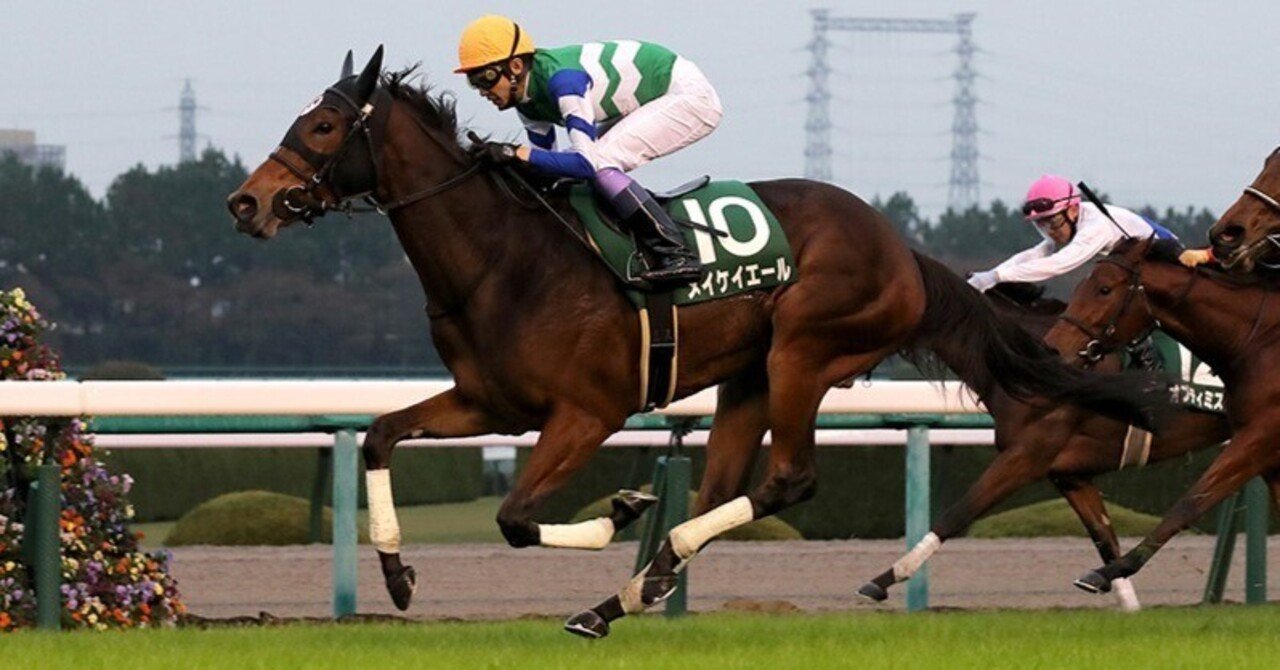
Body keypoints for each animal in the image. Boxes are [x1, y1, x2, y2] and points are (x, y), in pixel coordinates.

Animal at [226, 49, 1167, 638]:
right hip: (748, 377)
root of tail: (902, 249)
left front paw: (616, 512)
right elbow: (381, 436)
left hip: (804, 350)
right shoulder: (488, 402)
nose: (247, 202)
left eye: (322, 129)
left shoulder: (588, 413)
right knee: (724, 487)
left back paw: (641, 566)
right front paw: (395, 576)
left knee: (788, 480)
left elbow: (515, 518)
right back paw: (624, 594)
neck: (503, 260)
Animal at [858, 283, 1230, 610]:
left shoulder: (1026, 456)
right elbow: (1104, 540)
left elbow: (958, 513)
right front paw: (1126, 604)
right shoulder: (1069, 474)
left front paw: (883, 580)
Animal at [1042, 236, 1280, 594]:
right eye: (1081, 285)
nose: (1053, 349)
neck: (1262, 341)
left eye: (1105, 290)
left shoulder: (1260, 436)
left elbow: (1191, 502)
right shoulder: (1266, 450)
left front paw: (1107, 571)